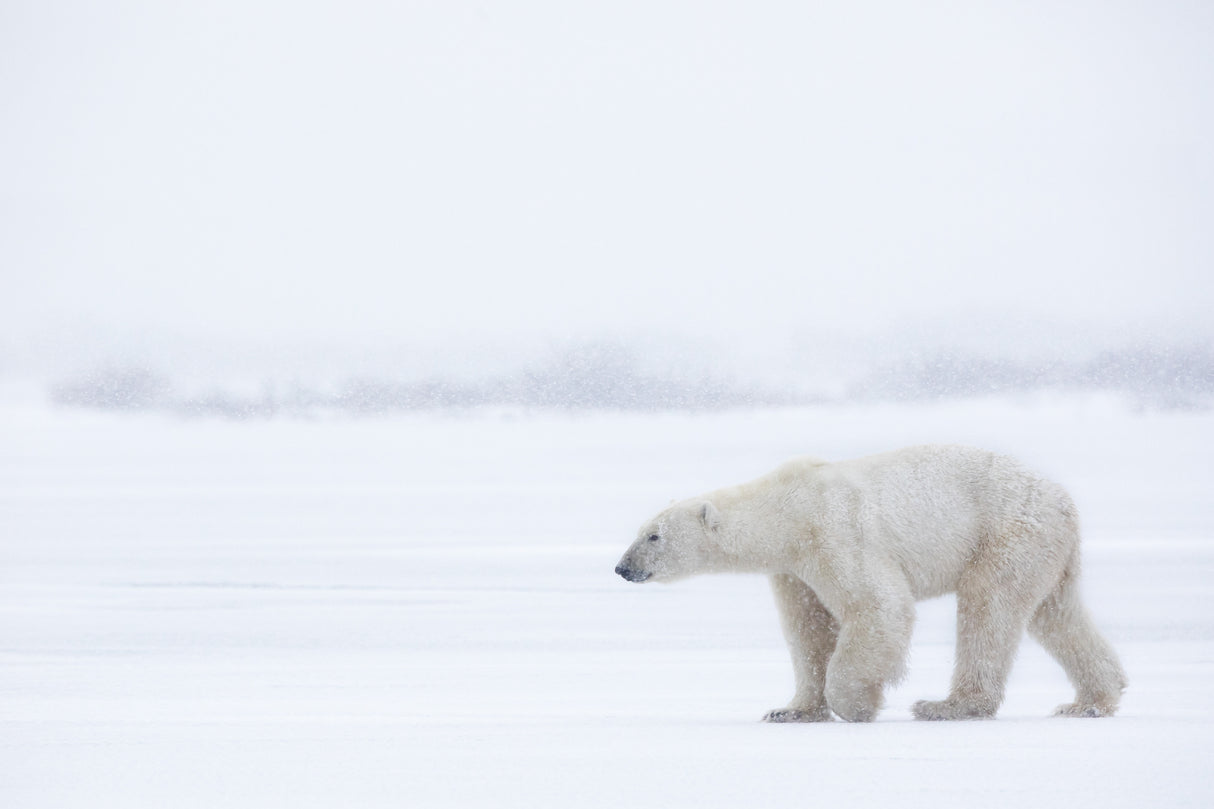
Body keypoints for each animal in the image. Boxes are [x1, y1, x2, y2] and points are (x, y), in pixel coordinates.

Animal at [616, 444, 1126, 719]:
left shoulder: (834, 531)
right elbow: (809, 631)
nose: (622, 567)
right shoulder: (794, 569)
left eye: (653, 535)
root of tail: (1064, 501)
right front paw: (789, 710)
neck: (786, 508)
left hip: (1005, 533)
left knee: (988, 609)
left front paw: (859, 704)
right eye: (639, 530)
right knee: (1057, 614)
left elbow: (878, 605)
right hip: (1046, 550)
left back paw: (946, 705)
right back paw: (1092, 699)